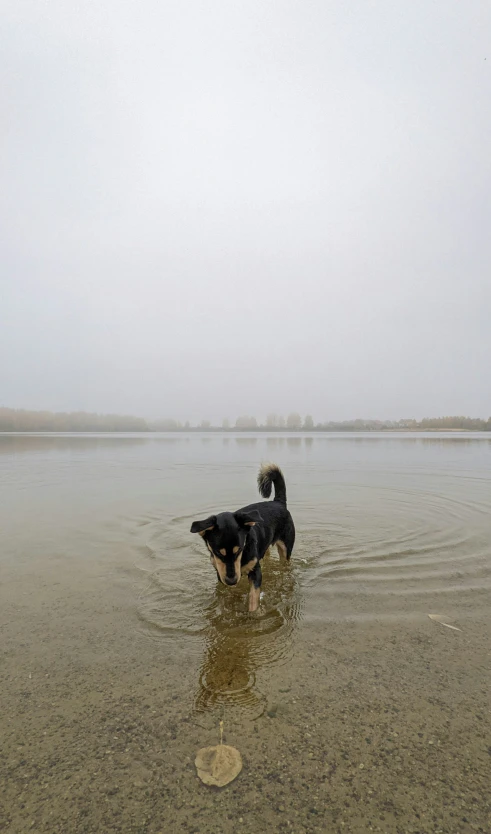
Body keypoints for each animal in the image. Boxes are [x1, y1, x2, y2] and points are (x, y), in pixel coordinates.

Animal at [190, 462, 294, 612]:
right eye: (217, 553)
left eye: (239, 549)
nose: (232, 581)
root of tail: (278, 502)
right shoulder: (220, 572)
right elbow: (224, 593)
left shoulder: (255, 571)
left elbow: (254, 595)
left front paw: (253, 613)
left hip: (286, 548)